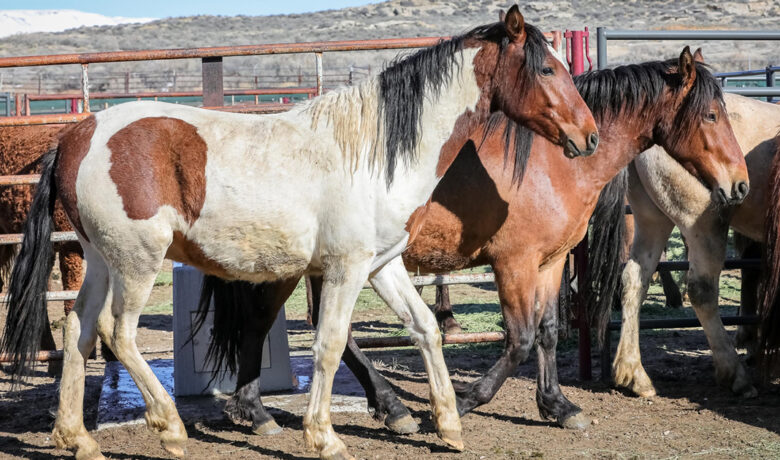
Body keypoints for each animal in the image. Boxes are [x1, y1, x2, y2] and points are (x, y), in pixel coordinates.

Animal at [0, 8, 600, 460]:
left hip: (101, 260)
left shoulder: (383, 266)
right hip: (137, 261)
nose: (590, 136)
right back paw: (169, 428)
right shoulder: (346, 269)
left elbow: (426, 328)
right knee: (117, 333)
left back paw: (77, 439)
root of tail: (77, 135)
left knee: (80, 331)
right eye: (547, 70)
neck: (375, 152)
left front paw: (447, 425)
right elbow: (330, 343)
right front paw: (325, 437)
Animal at [204, 47, 749, 437]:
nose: (740, 185)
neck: (553, 162)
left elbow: (547, 332)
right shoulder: (514, 264)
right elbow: (519, 339)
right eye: (711, 116)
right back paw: (263, 410)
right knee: (265, 323)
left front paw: (557, 405)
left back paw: (380, 406)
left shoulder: (550, 264)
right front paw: (464, 402)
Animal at [614, 91, 780, 398]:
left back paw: (633, 374)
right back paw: (735, 375)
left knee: (634, 280)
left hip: (651, 219)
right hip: (704, 225)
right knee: (702, 291)